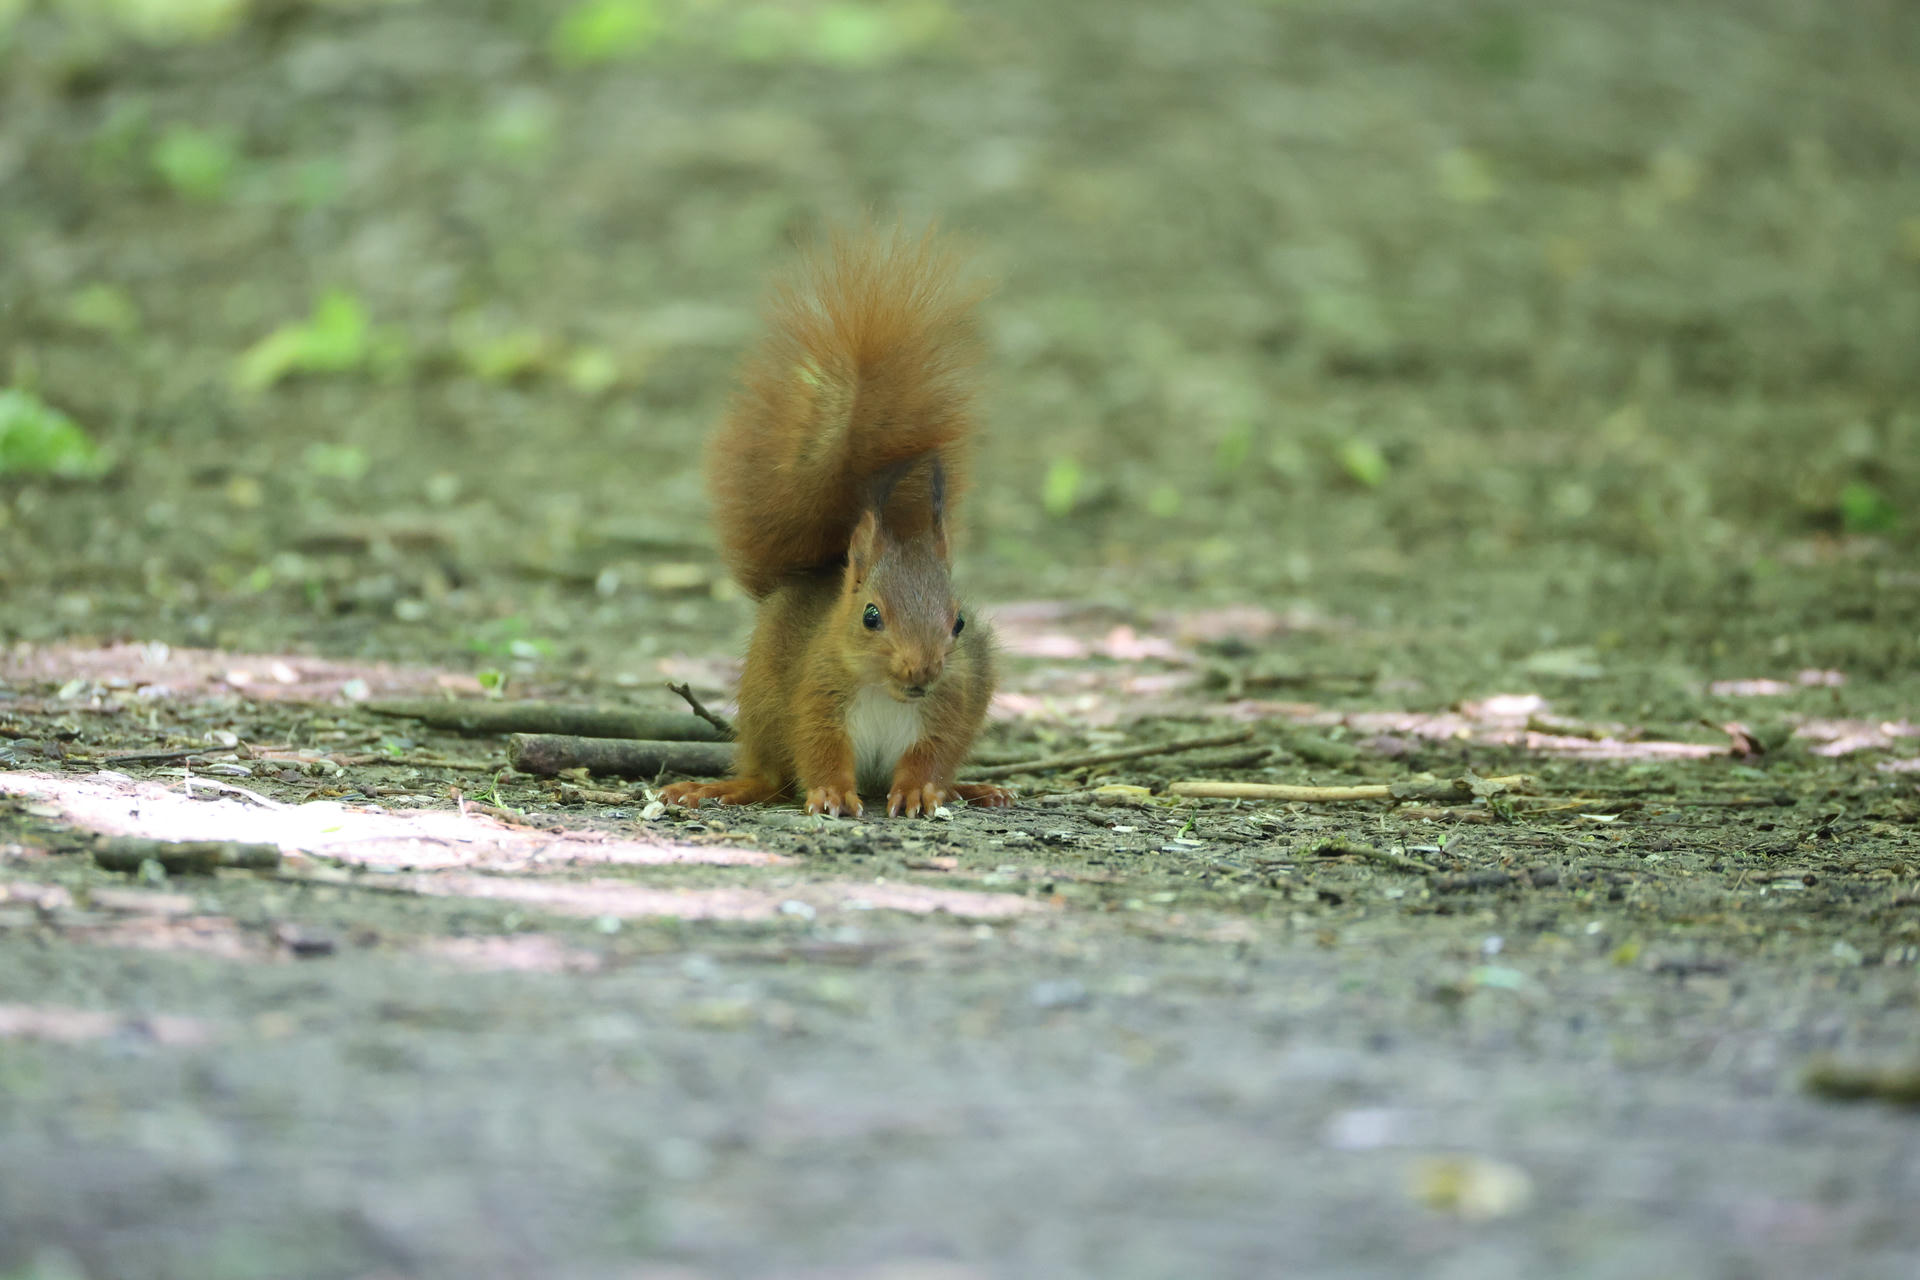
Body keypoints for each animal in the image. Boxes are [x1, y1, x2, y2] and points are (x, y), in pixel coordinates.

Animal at [661, 227, 1014, 819]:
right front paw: (828, 792)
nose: (923, 670)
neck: (885, 690)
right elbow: (818, 747)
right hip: (763, 705)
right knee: (771, 774)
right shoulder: (817, 691)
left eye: (960, 623)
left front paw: (921, 790)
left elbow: (931, 756)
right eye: (871, 616)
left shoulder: (952, 702)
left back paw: (972, 788)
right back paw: (727, 788)